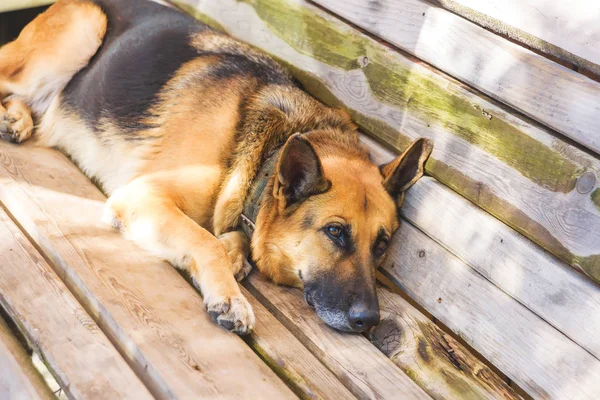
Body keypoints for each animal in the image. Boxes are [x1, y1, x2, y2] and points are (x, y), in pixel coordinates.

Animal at [0, 0, 432, 334]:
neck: (265, 155)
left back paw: (17, 119)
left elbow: (224, 238)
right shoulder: (142, 195)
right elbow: (205, 241)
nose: (369, 321)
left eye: (382, 245)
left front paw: (234, 254)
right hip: (85, 29)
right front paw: (230, 295)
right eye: (335, 232)